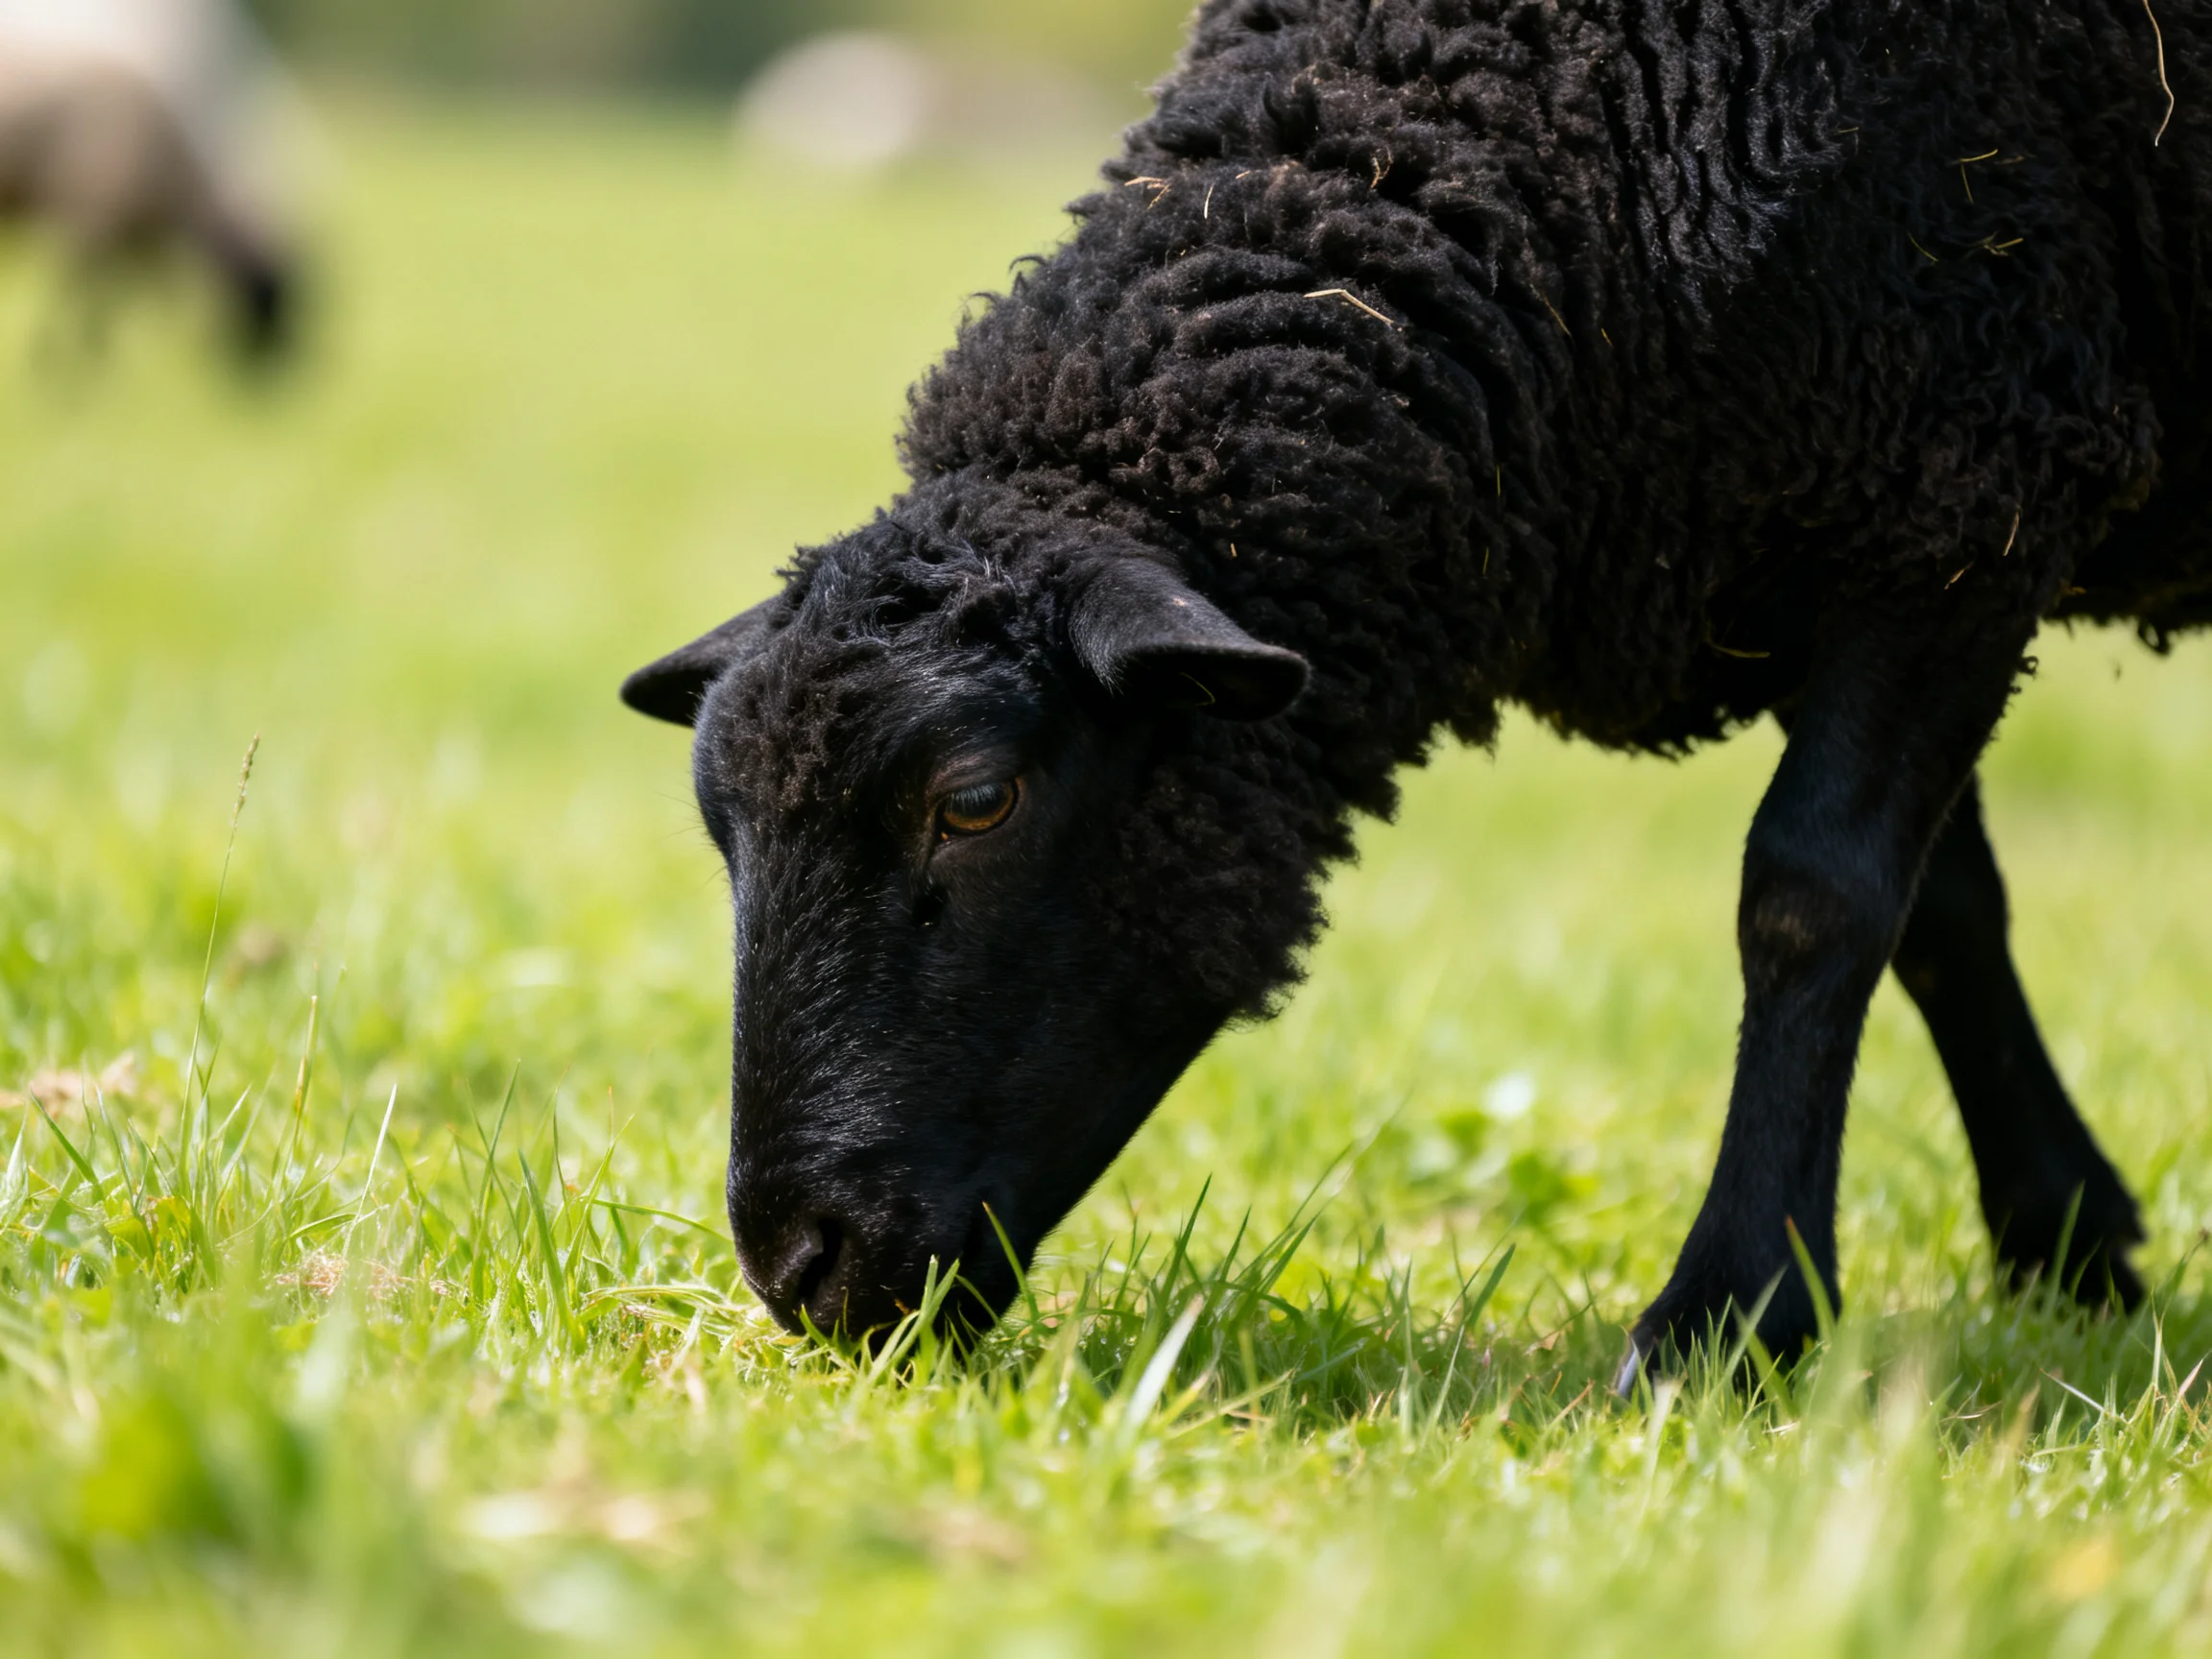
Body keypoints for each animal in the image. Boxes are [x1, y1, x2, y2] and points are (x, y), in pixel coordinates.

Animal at [0, 0, 296, 360]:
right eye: (265, 291)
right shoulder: (91, 216)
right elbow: (74, 293)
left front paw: (93, 351)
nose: (273, 361)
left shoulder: (124, 237)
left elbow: (109, 300)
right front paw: (54, 354)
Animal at [623, 0, 2212, 1377]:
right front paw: (2069, 1243)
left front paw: (1730, 1318)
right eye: (721, 828)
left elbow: (1811, 895)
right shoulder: (1803, 549)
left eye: (974, 801)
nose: (803, 1270)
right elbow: (1942, 910)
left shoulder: (1962, 491)